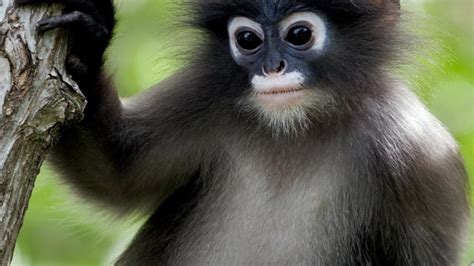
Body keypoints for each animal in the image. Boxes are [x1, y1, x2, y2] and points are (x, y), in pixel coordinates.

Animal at [14, 0, 470, 264]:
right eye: (247, 39)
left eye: (300, 34)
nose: (272, 68)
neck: (294, 128)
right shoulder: (204, 97)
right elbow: (117, 174)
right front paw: (88, 39)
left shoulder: (421, 155)